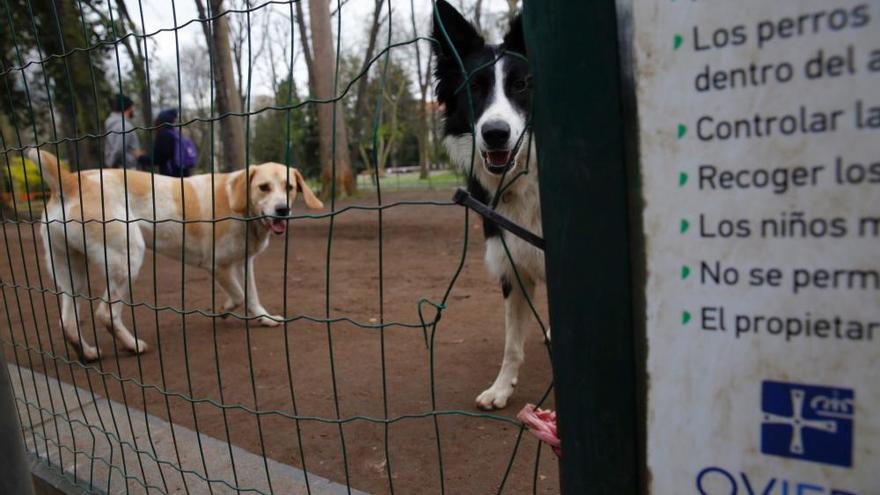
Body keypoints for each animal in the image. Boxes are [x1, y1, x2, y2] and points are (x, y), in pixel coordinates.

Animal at [30, 149, 324, 362]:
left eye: (289, 187)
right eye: (263, 187)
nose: (283, 210)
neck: (241, 206)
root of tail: (71, 181)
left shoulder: (243, 263)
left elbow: (251, 295)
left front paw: (264, 319)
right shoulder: (218, 266)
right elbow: (240, 296)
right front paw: (227, 308)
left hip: (72, 276)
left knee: (68, 322)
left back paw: (88, 353)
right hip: (128, 259)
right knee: (106, 314)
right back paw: (132, 345)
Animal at [434, 0, 544, 410]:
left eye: (522, 85)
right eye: (475, 87)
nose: (495, 134)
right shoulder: (514, 265)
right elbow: (512, 344)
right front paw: (501, 388)